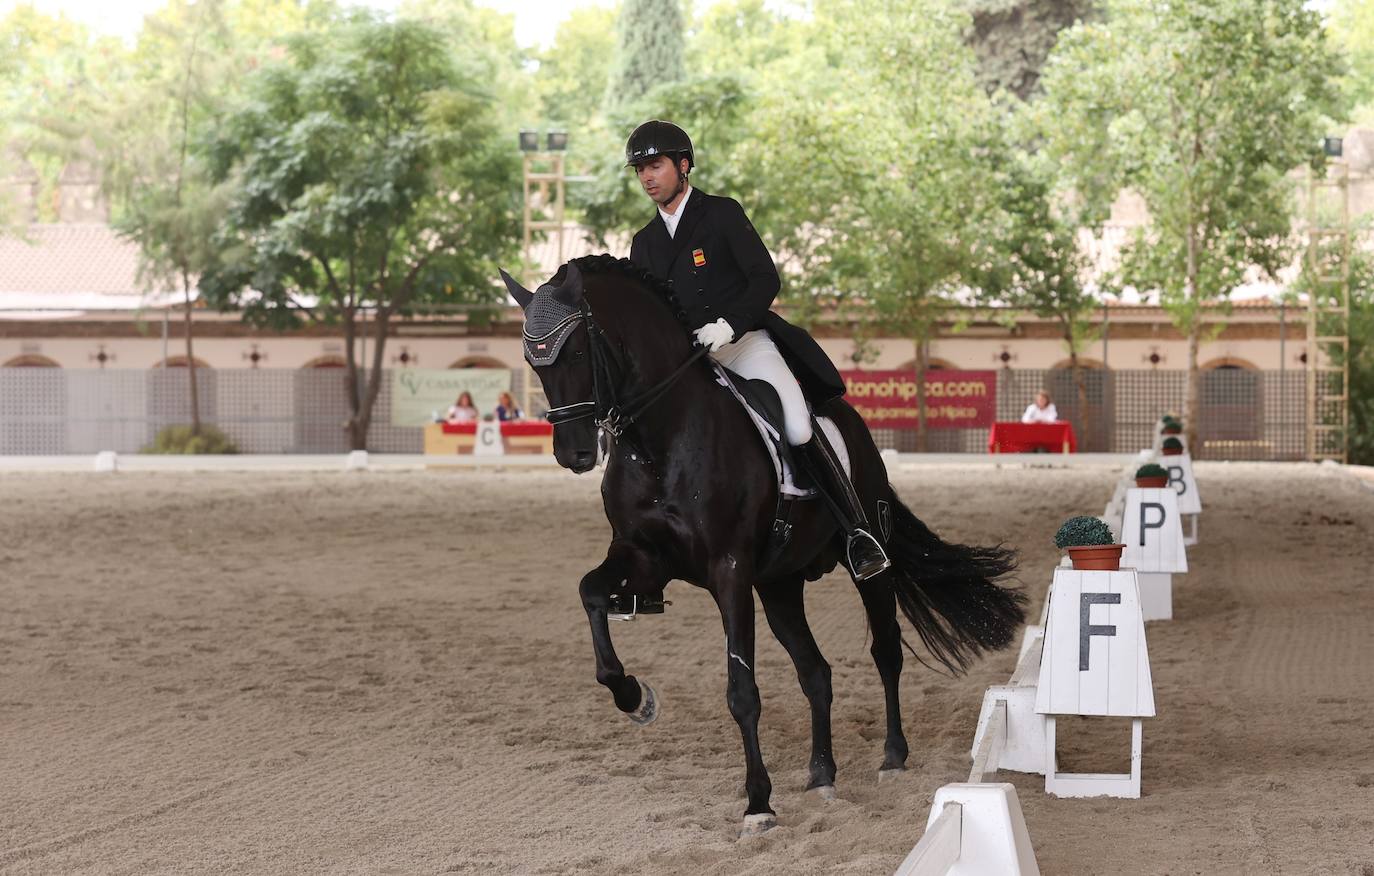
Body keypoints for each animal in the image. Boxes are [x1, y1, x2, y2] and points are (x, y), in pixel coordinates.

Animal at [500, 255, 1027, 834]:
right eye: (532, 362)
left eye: (575, 351)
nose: (572, 454)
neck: (660, 439)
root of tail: (856, 429)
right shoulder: (643, 556)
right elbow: (590, 595)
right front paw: (634, 696)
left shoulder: (729, 571)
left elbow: (742, 691)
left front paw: (758, 803)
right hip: (779, 585)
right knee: (816, 672)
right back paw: (822, 774)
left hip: (868, 566)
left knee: (886, 651)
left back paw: (892, 757)